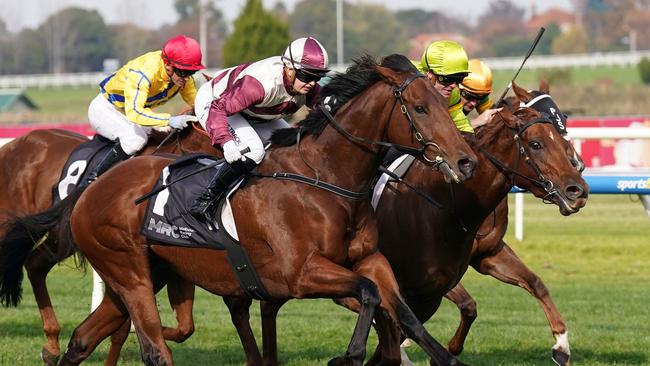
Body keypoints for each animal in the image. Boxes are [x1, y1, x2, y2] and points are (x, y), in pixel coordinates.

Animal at [0, 122, 218, 364]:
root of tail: (11, 146)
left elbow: (185, 327)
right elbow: (123, 327)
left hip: (59, 237)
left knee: (35, 264)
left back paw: (51, 346)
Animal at [48, 55, 476, 366]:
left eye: (447, 104)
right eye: (419, 108)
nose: (466, 161)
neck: (326, 178)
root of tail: (91, 189)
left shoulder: (371, 259)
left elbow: (402, 311)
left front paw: (443, 357)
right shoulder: (299, 275)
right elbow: (369, 294)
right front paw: (349, 356)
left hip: (144, 274)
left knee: (82, 339)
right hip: (129, 271)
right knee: (154, 349)